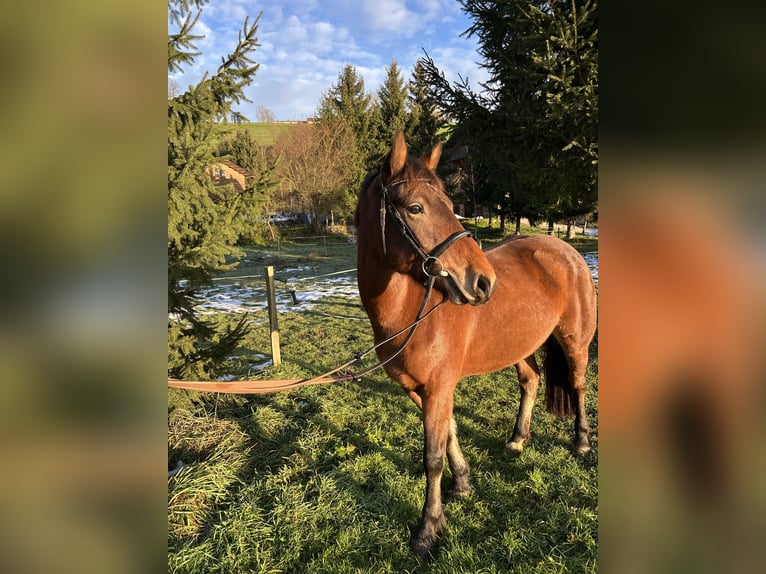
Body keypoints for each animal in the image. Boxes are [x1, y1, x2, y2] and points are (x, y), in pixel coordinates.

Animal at [356, 130, 600, 560]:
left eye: (451, 206)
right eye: (415, 207)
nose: (484, 282)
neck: (410, 311)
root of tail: (566, 250)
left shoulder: (438, 387)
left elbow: (432, 457)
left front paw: (428, 529)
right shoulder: (420, 389)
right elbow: (450, 432)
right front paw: (464, 483)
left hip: (575, 342)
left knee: (578, 385)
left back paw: (582, 442)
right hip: (520, 348)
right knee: (531, 380)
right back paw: (517, 440)